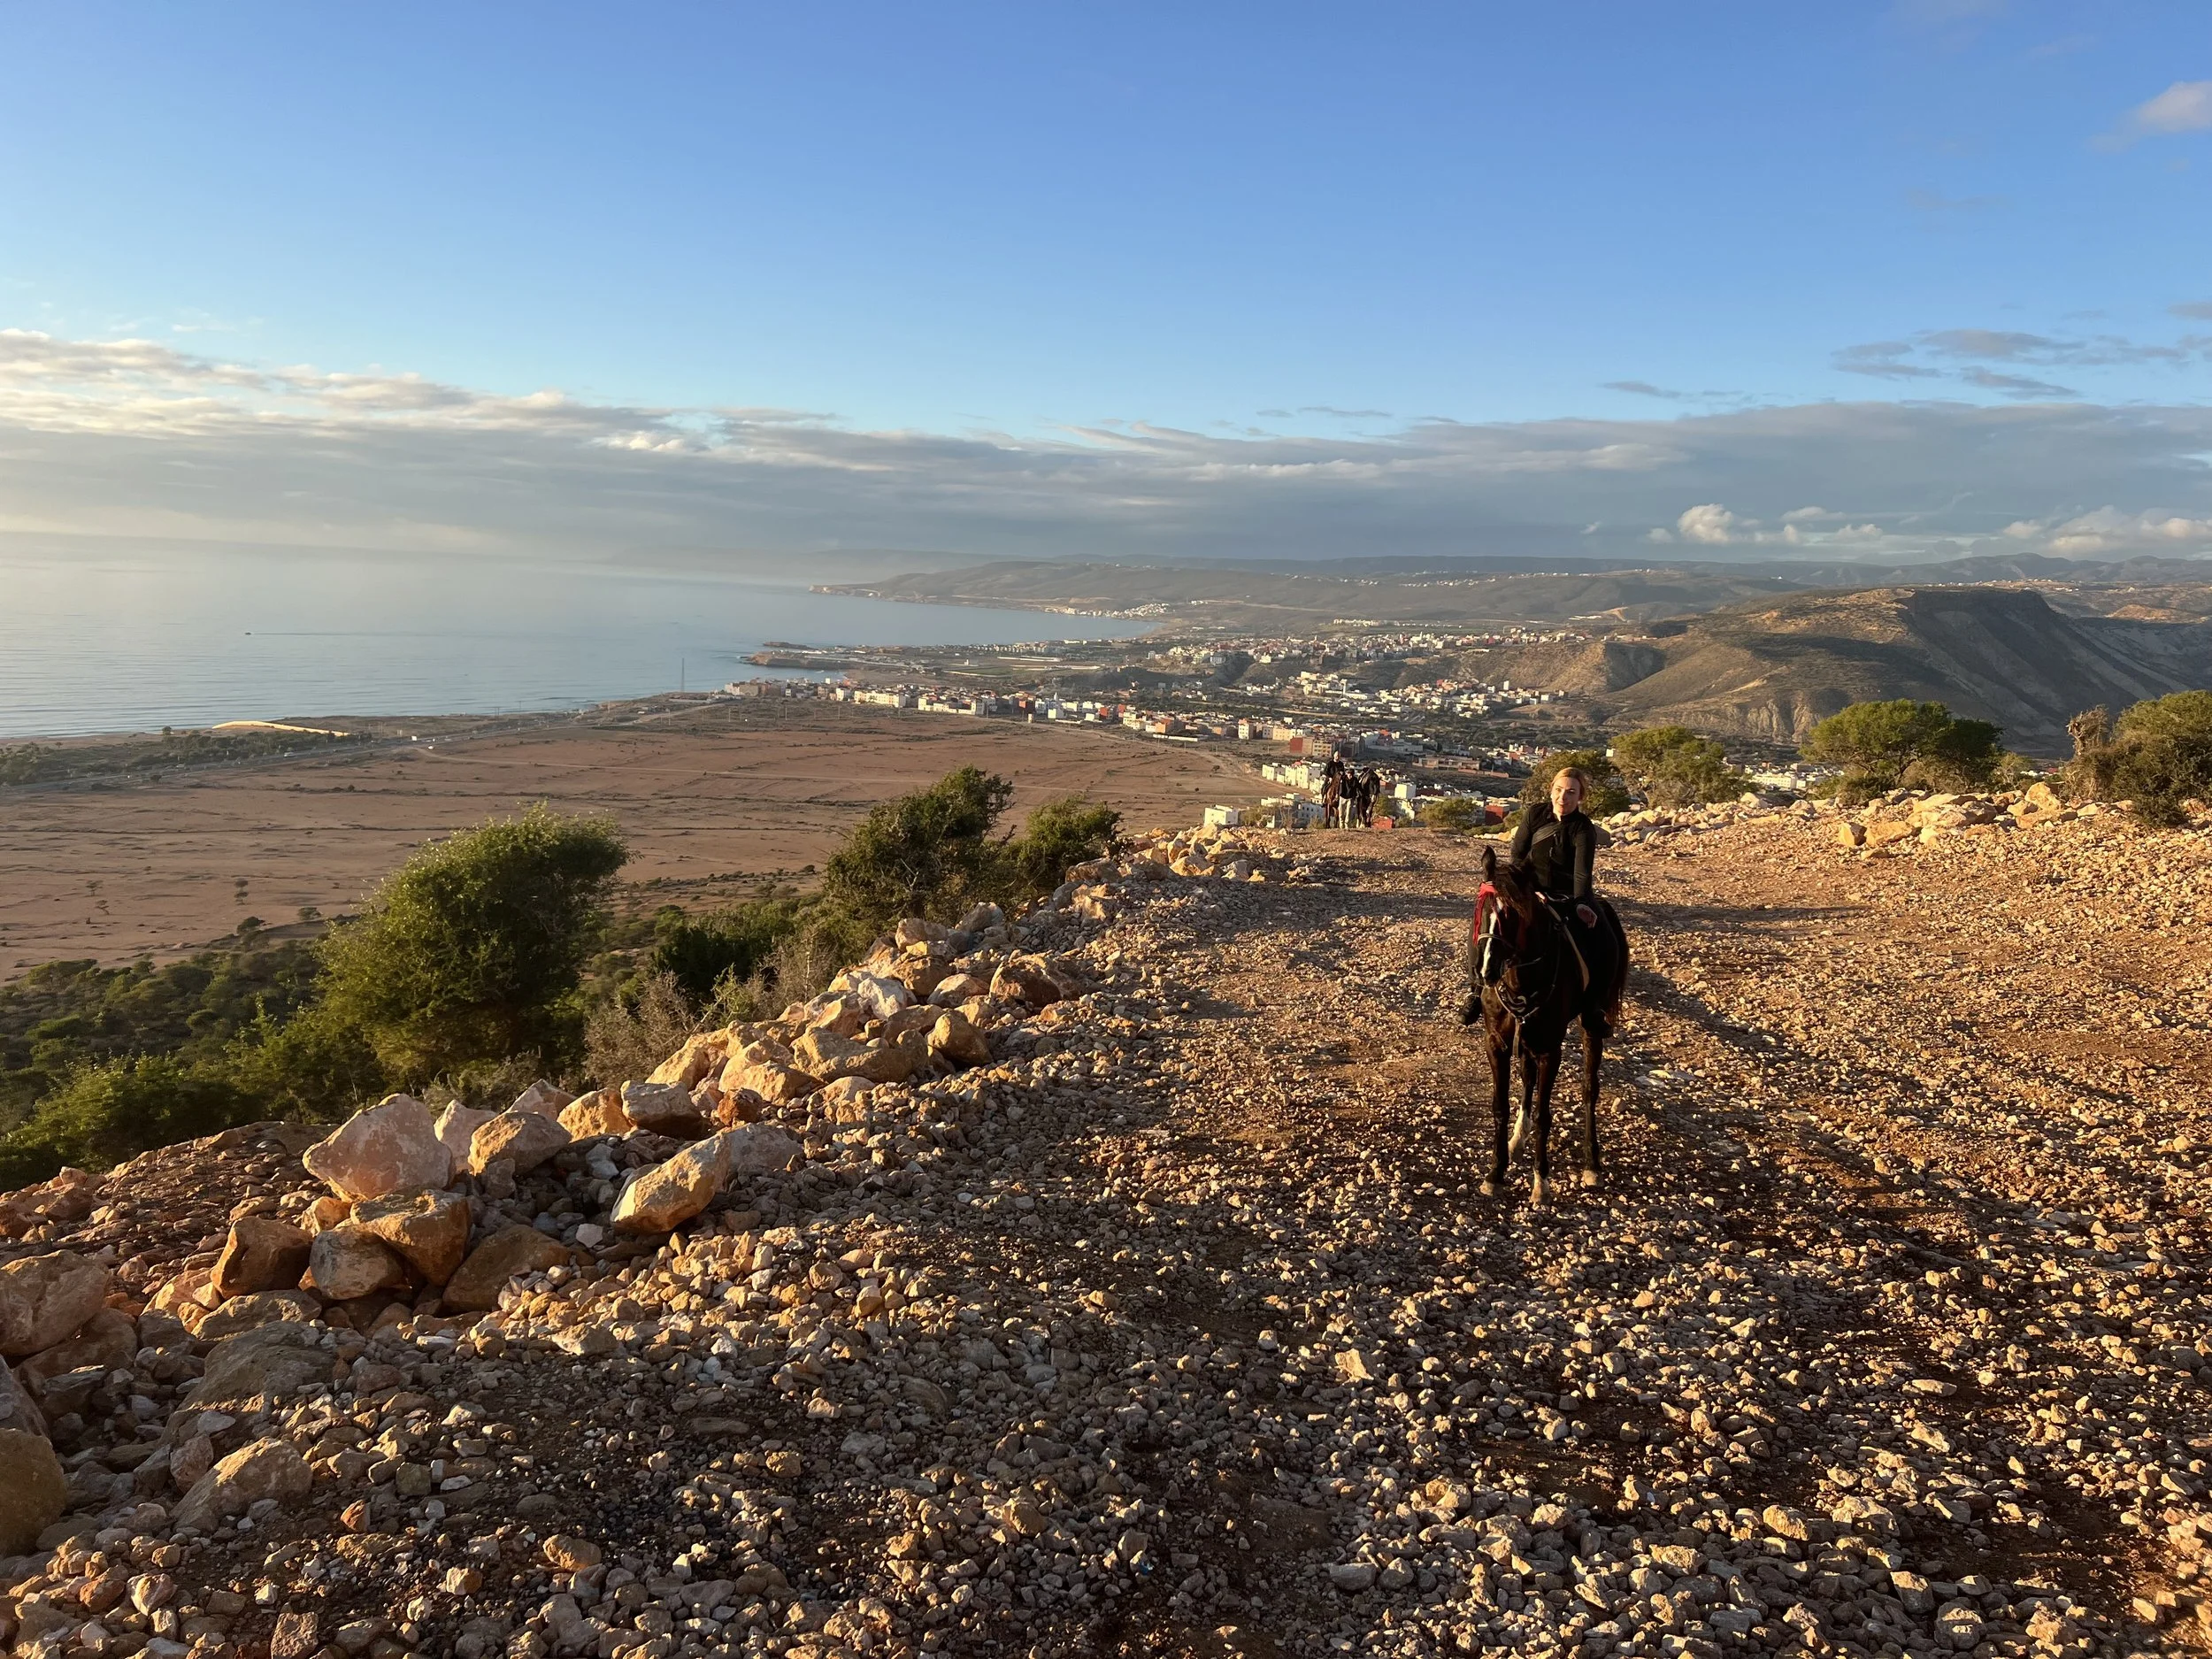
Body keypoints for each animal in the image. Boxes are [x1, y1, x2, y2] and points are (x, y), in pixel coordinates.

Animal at [1464, 843, 1624, 1204]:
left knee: (1589, 1089)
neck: (1518, 975)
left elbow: (1544, 1113)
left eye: (1511, 915)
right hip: (1528, 1037)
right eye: (1481, 909)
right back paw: (1516, 1140)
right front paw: (1496, 1171)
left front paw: (1541, 1180)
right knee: (1527, 1078)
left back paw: (1592, 1163)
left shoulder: (1551, 1048)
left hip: (1589, 1026)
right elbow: (1501, 1105)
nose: (1485, 970)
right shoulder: (1498, 1042)